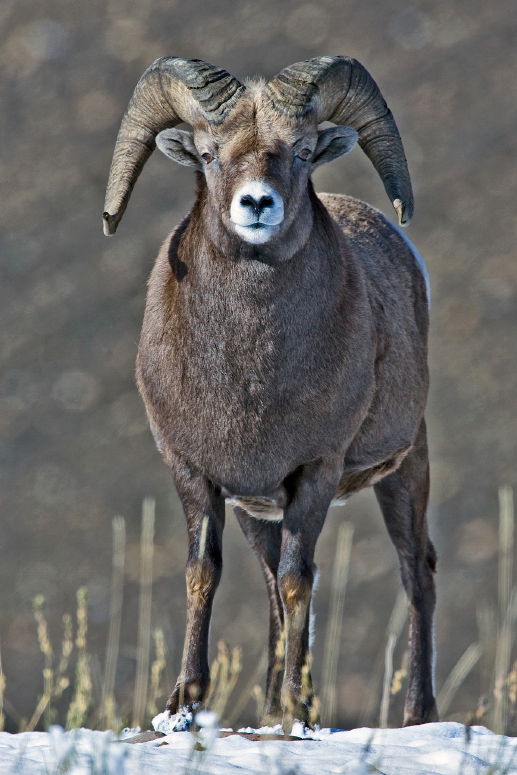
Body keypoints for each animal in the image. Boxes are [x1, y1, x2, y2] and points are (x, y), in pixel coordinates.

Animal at [104, 57, 436, 732]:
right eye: (208, 153)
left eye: (303, 151)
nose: (257, 203)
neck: (250, 379)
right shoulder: (197, 474)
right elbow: (204, 574)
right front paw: (183, 705)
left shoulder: (316, 472)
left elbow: (296, 581)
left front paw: (298, 715)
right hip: (260, 511)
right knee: (267, 586)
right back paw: (267, 703)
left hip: (405, 467)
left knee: (416, 573)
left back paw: (417, 716)